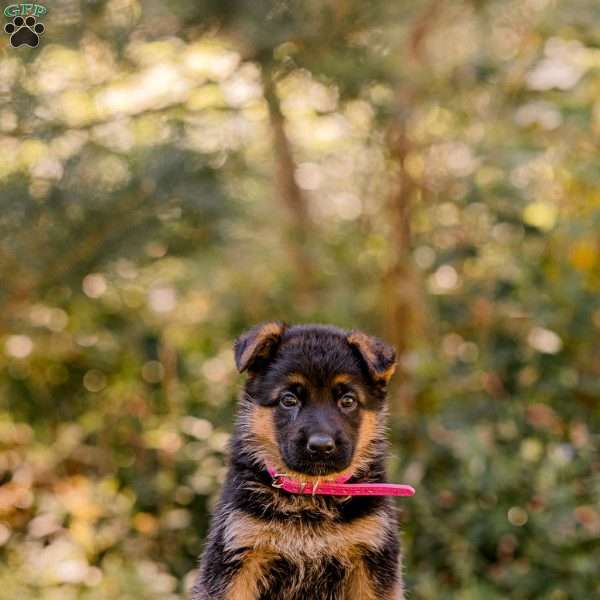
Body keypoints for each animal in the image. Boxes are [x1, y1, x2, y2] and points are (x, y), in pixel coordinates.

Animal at [192, 324, 408, 600]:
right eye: (288, 400)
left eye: (348, 400)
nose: (321, 446)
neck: (311, 495)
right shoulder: (238, 555)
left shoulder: (371, 558)